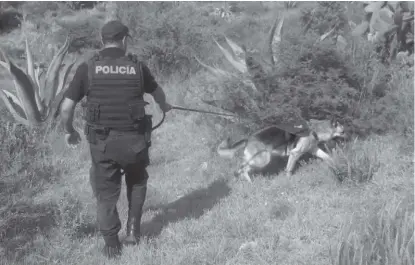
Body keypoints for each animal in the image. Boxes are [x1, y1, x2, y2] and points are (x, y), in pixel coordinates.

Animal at [216, 118, 346, 182]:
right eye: (343, 131)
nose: (348, 136)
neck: (314, 129)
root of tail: (248, 139)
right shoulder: (295, 154)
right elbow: (289, 169)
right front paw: (288, 179)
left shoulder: (314, 149)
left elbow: (327, 156)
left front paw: (335, 163)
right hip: (263, 159)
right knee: (242, 166)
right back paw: (244, 177)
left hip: (260, 159)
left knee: (243, 165)